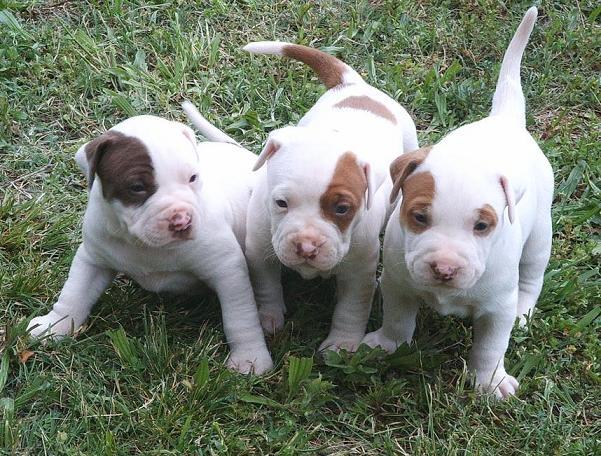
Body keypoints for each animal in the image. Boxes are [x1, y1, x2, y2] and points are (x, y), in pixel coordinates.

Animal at [27, 113, 272, 374]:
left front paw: (250, 358)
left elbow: (240, 316)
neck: (145, 244)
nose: (182, 220)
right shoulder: (93, 259)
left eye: (193, 178)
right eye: (137, 187)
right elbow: (73, 294)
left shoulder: (227, 269)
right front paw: (53, 326)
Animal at [234, 41, 418, 350]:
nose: (307, 247)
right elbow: (266, 286)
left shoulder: (359, 271)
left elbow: (351, 309)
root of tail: (354, 84)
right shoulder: (259, 251)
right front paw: (268, 318)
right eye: (280, 203)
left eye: (342, 209)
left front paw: (341, 345)